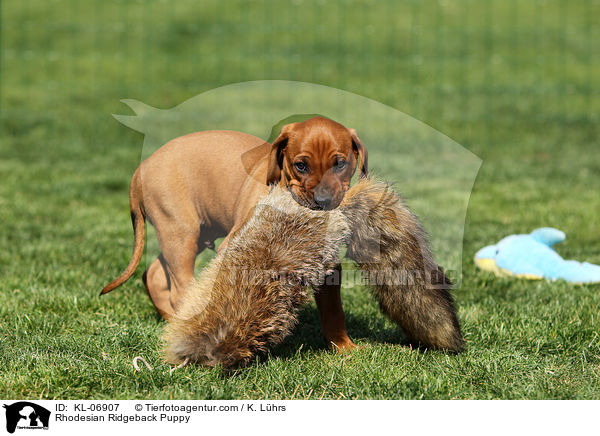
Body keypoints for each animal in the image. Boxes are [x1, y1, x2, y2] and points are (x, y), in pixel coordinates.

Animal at [101, 116, 368, 350]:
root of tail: (140, 169)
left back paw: (173, 324)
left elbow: (333, 310)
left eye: (340, 164)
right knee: (179, 287)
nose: (323, 202)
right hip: (180, 232)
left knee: (154, 274)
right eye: (301, 166)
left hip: (195, 232)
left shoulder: (328, 263)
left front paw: (344, 347)